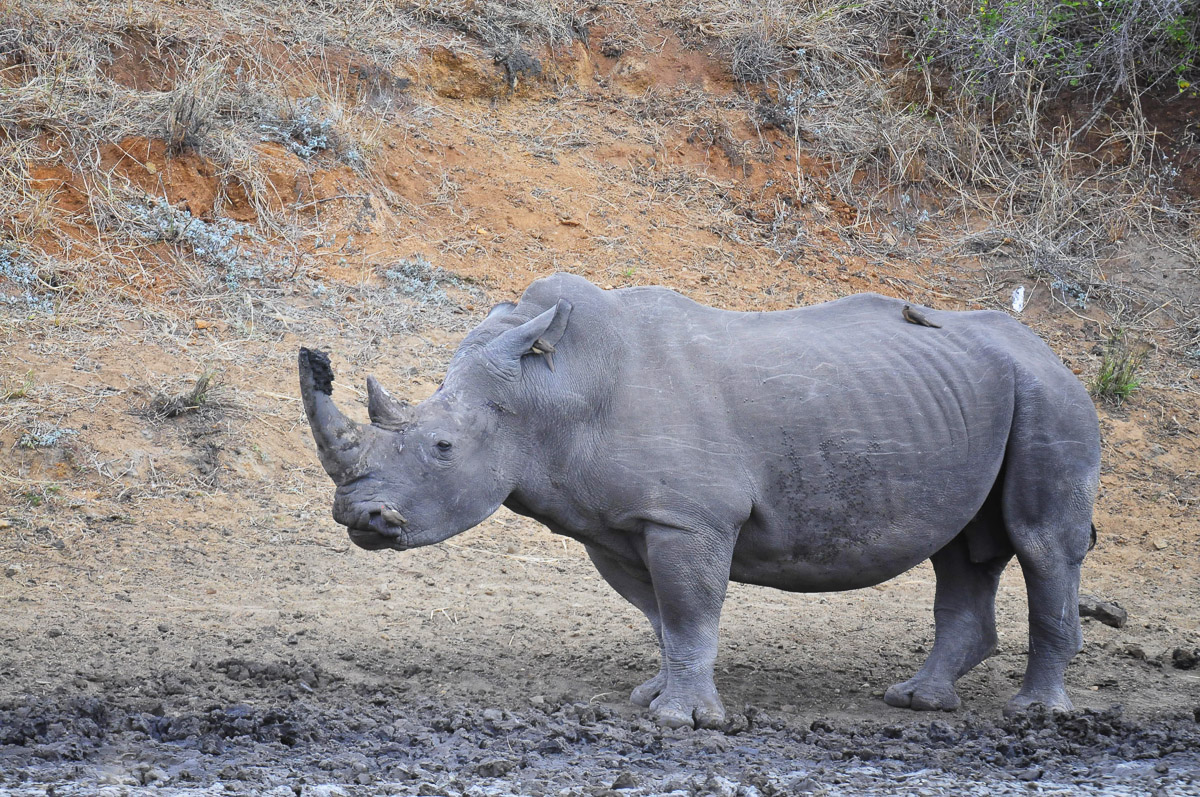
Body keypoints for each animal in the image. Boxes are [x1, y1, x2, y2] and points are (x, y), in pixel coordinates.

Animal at [299, 272, 1100, 729]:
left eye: (441, 448)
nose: (361, 519)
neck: (551, 392)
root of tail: (1048, 345)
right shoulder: (617, 523)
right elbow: (659, 613)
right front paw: (651, 697)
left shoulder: (688, 517)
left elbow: (688, 610)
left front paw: (682, 720)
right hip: (972, 395)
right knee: (962, 550)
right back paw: (917, 701)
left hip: (1050, 391)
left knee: (1040, 543)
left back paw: (1034, 715)